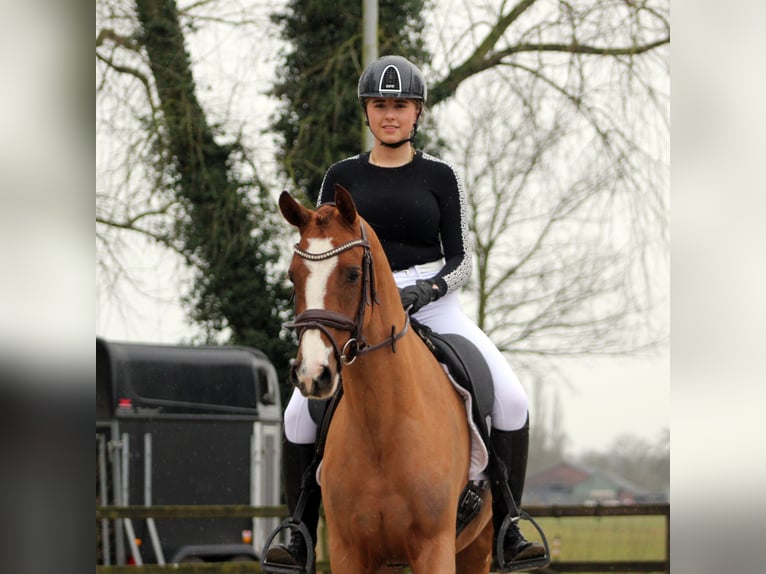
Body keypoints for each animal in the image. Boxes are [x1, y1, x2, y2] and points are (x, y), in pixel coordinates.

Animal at [280, 186, 496, 574]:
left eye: (353, 274)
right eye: (293, 276)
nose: (312, 374)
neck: (380, 425)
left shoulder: (435, 550)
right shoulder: (349, 552)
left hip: (477, 548)